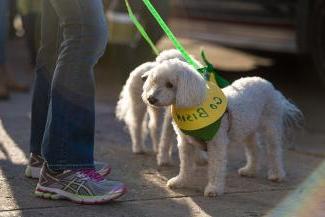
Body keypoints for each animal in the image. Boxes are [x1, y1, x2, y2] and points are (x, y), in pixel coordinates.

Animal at [142, 58, 304, 197]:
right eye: (154, 81)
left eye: (170, 84)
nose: (151, 98)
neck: (194, 103)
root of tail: (269, 85)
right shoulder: (185, 144)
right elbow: (186, 165)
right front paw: (180, 181)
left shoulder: (217, 143)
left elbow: (216, 167)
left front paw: (214, 189)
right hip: (247, 129)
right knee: (255, 148)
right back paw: (250, 170)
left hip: (271, 126)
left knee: (274, 151)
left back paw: (277, 174)